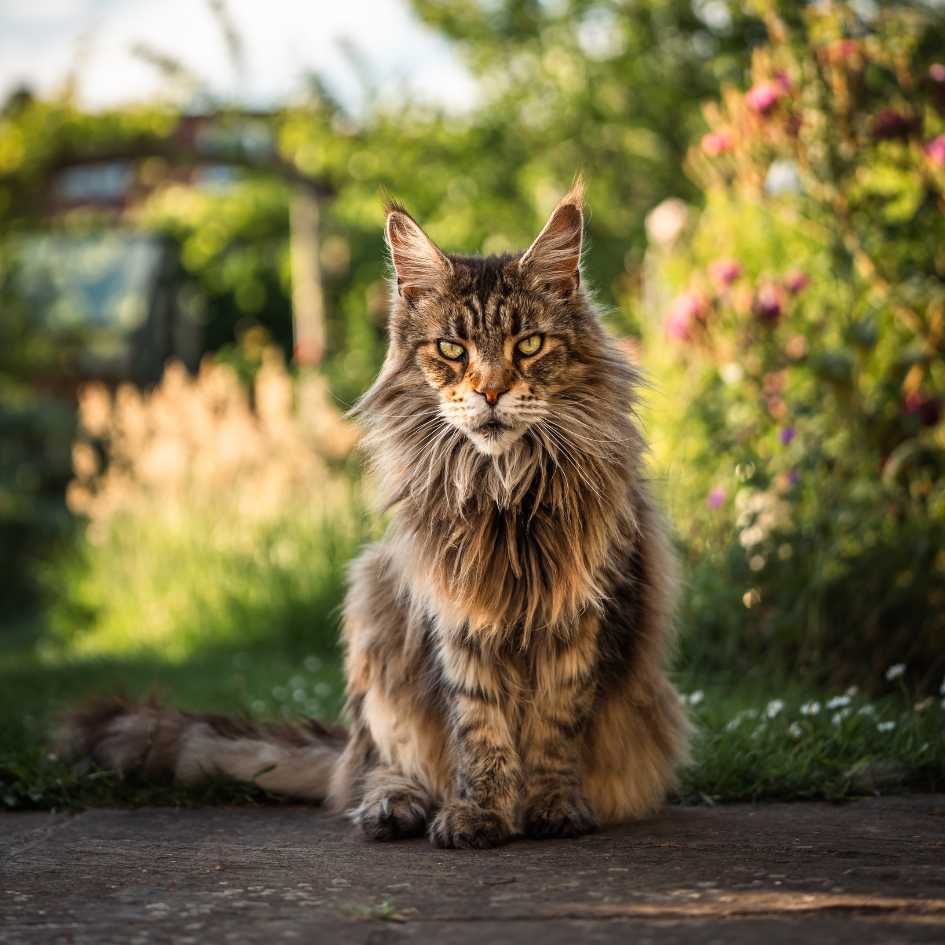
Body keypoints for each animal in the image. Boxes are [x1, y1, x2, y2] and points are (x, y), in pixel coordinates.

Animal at [62, 183, 688, 848]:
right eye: (452, 350)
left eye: (529, 346)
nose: (491, 392)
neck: (501, 489)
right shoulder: (455, 618)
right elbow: (480, 732)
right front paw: (480, 815)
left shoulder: (586, 614)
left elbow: (553, 727)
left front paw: (551, 809)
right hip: (374, 605)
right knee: (382, 767)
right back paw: (394, 808)